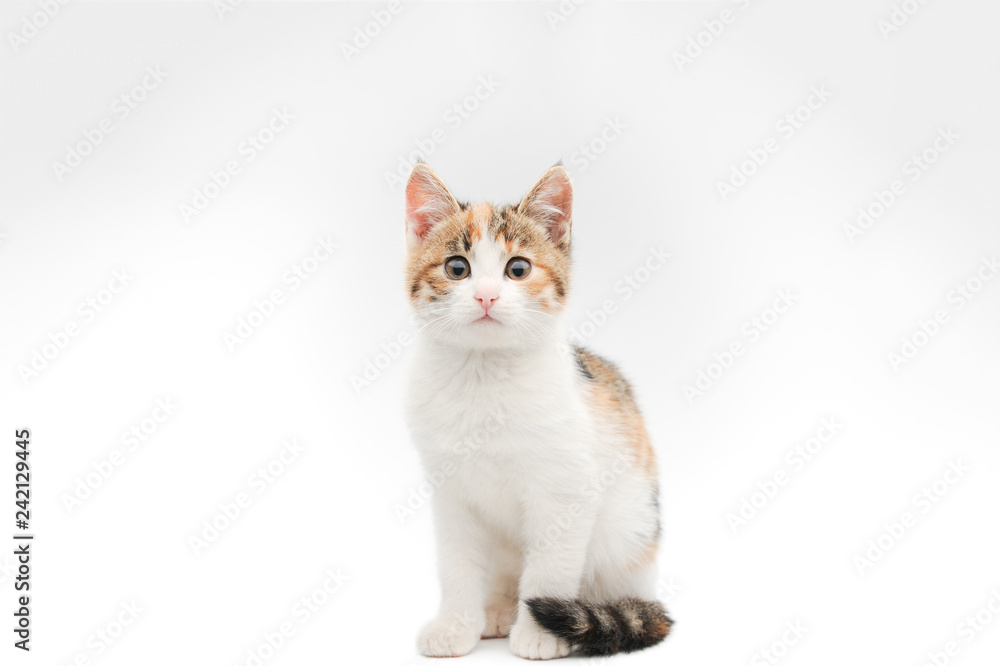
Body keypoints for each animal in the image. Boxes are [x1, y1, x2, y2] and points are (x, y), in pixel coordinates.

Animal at [400, 163, 672, 656]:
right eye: (457, 268)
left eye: (518, 269)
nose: (487, 296)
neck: (484, 376)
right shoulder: (450, 492)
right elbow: (457, 562)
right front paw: (455, 626)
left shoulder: (566, 489)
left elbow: (550, 566)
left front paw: (540, 634)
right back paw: (496, 612)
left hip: (632, 536)